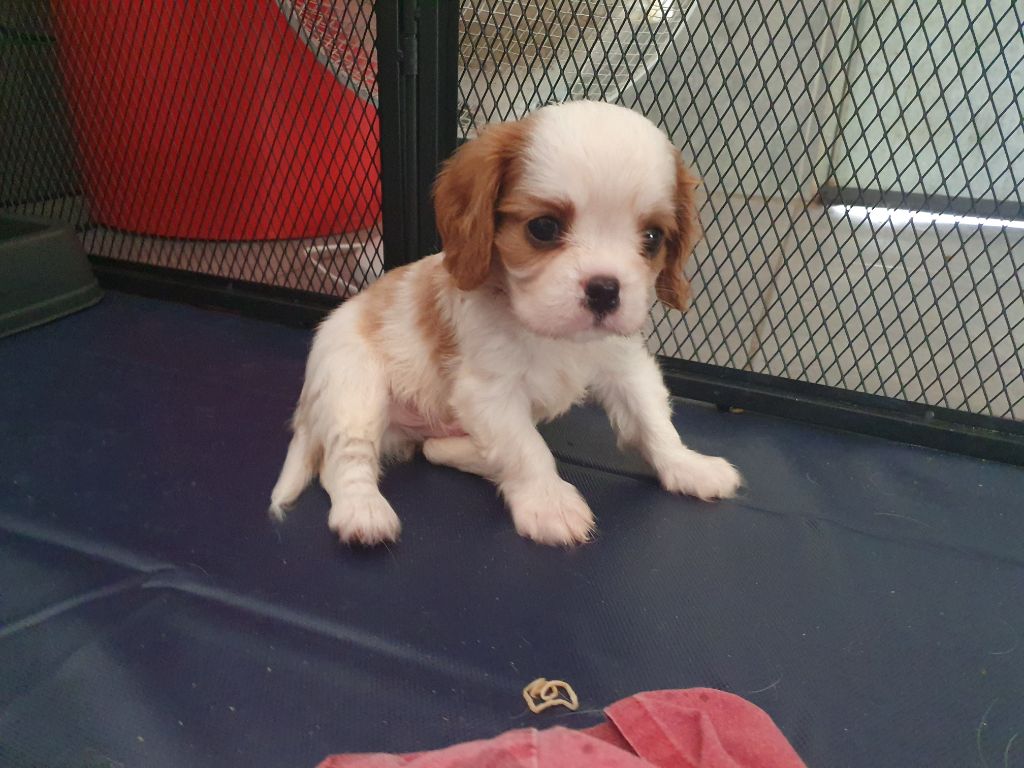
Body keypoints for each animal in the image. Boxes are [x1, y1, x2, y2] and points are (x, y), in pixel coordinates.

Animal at [270, 100, 742, 546]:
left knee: (433, 450)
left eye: (653, 238)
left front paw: (687, 465)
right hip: (354, 387)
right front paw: (549, 504)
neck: (553, 336)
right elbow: (525, 449)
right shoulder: (490, 392)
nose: (605, 290)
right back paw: (363, 511)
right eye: (544, 227)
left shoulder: (624, 364)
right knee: (342, 461)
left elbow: (652, 420)